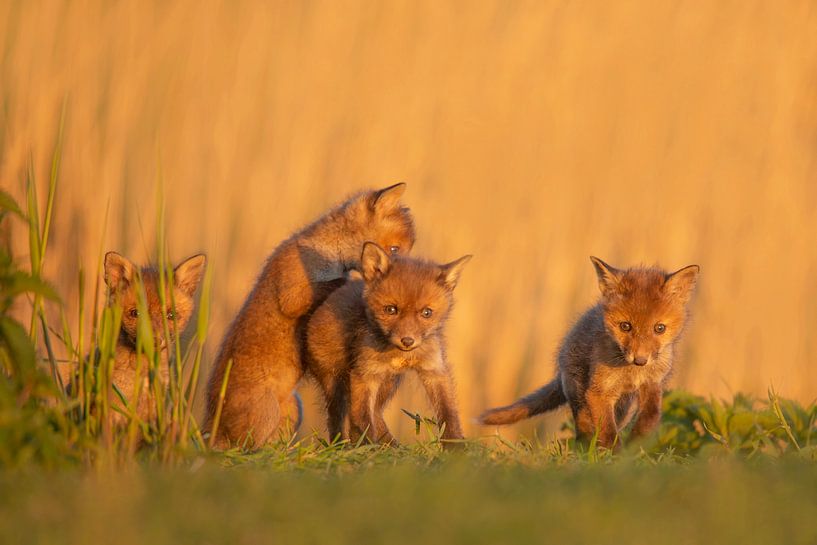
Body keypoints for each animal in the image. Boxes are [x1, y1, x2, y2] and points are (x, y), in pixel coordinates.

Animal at [205, 184, 416, 449]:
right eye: (394, 248)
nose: (401, 279)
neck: (327, 253)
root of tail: (212, 422)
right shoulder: (292, 294)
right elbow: (331, 284)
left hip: (294, 409)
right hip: (267, 414)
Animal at [305, 242, 471, 447]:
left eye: (427, 313)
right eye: (391, 310)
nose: (407, 341)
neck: (401, 355)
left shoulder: (434, 370)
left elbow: (449, 413)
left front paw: (456, 447)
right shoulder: (364, 375)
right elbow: (362, 419)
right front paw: (366, 447)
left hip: (388, 383)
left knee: (376, 413)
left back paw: (392, 447)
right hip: (336, 383)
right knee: (339, 419)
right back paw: (341, 447)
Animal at [478, 257, 699, 449]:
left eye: (659, 328)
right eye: (625, 326)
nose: (640, 360)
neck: (631, 373)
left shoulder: (652, 384)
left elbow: (651, 416)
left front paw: (636, 444)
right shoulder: (598, 391)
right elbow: (608, 432)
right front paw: (615, 456)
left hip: (624, 407)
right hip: (578, 393)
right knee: (584, 427)